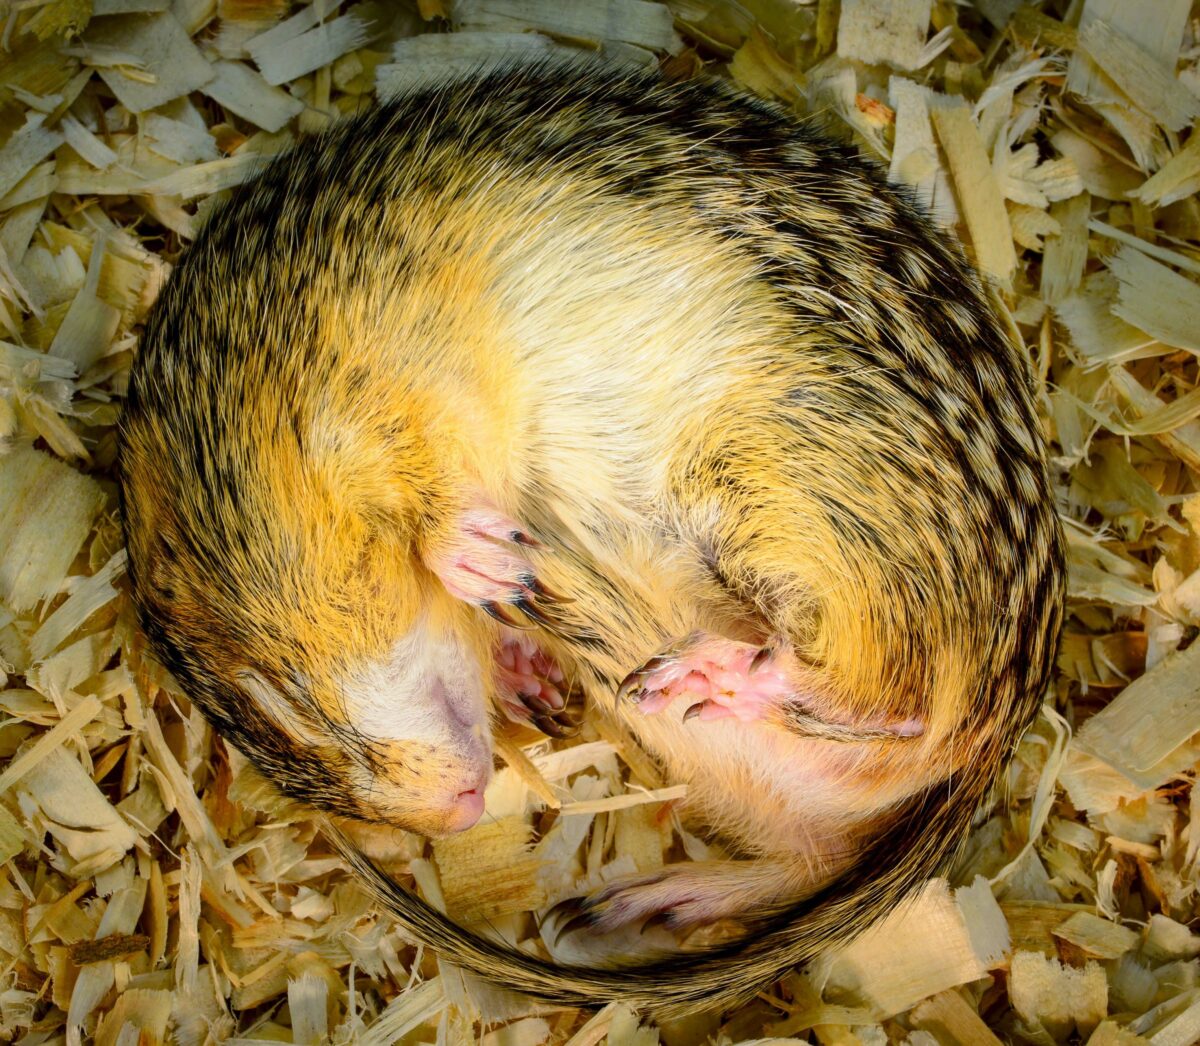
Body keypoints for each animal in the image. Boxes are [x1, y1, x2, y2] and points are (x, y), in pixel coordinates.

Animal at [119, 61, 1064, 1016]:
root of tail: (1001, 731)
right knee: (821, 847)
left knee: (895, 697)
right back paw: (646, 899)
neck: (255, 395)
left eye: (278, 695)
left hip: (786, 507)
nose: (459, 814)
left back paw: (715, 671)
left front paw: (483, 562)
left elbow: (437, 501)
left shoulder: (390, 392)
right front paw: (518, 659)